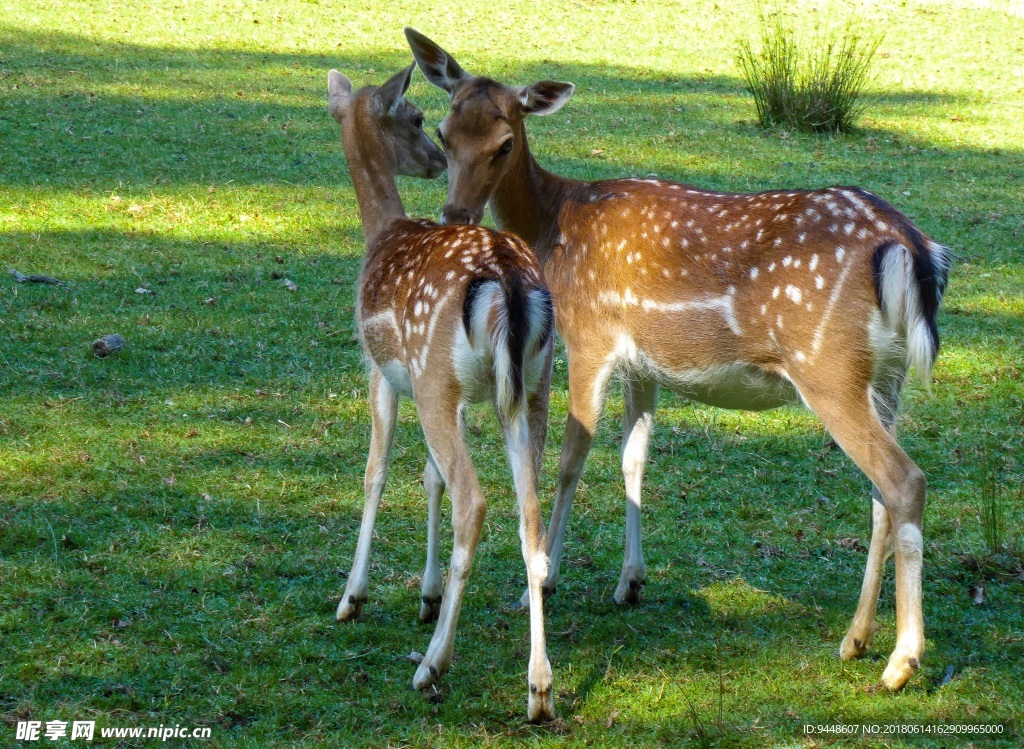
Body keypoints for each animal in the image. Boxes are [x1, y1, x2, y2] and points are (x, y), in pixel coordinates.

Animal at [327, 64, 557, 721]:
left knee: (473, 502)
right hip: (529, 388)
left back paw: (432, 665)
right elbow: (428, 475)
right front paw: (425, 597)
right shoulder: (449, 394)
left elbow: (376, 470)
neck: (380, 232)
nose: (432, 164)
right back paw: (539, 689)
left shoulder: (383, 370)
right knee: (529, 514)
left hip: (436, 379)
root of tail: (508, 282)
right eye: (421, 121)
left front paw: (351, 598)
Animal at [407, 29, 950, 692]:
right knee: (881, 494)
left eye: (505, 141)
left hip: (828, 368)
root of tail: (913, 249)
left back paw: (902, 660)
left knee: (905, 480)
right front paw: (630, 582)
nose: (455, 215)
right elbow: (634, 457)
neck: (554, 225)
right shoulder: (645, 365)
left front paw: (545, 578)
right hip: (886, 377)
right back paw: (855, 639)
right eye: (442, 131)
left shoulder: (589, 336)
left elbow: (570, 458)